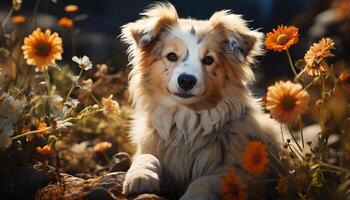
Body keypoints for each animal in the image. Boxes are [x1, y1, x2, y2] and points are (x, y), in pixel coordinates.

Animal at [121, 2, 280, 199]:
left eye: (208, 60)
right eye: (171, 56)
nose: (186, 80)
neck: (187, 121)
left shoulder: (246, 175)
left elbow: (205, 180)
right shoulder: (150, 149)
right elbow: (145, 157)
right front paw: (141, 175)